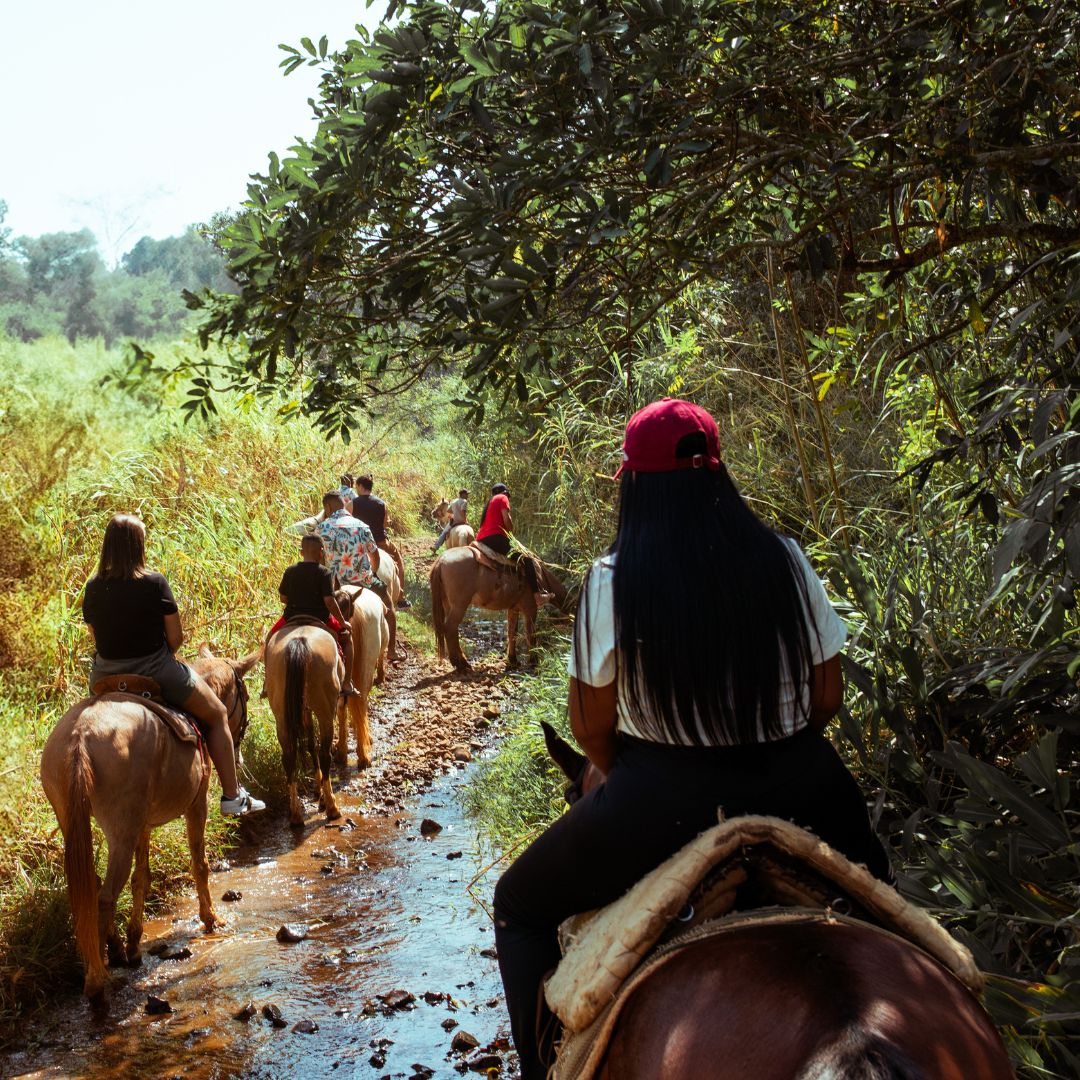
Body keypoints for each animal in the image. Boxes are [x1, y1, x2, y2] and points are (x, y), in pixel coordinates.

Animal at [38, 639, 259, 1002]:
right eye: (247, 696)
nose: (239, 750)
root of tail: (81, 735)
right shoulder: (196, 804)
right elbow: (199, 863)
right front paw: (210, 919)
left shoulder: (141, 824)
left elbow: (141, 878)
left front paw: (134, 942)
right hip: (120, 829)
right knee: (105, 896)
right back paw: (98, 979)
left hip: (82, 820)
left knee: (92, 888)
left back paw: (112, 950)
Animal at [264, 622, 343, 820]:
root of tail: (299, 642)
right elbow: (315, 747)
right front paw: (321, 796)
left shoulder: (304, 709)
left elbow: (310, 745)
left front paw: (317, 790)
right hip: (325, 711)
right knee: (325, 754)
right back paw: (332, 807)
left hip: (281, 715)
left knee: (289, 757)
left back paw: (295, 815)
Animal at [427, 544, 570, 669]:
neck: (540, 576)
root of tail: (441, 560)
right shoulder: (530, 608)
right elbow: (531, 634)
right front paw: (533, 661)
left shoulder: (513, 609)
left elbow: (512, 633)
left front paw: (513, 660)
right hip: (459, 605)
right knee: (450, 628)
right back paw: (461, 664)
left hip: (448, 604)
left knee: (452, 629)